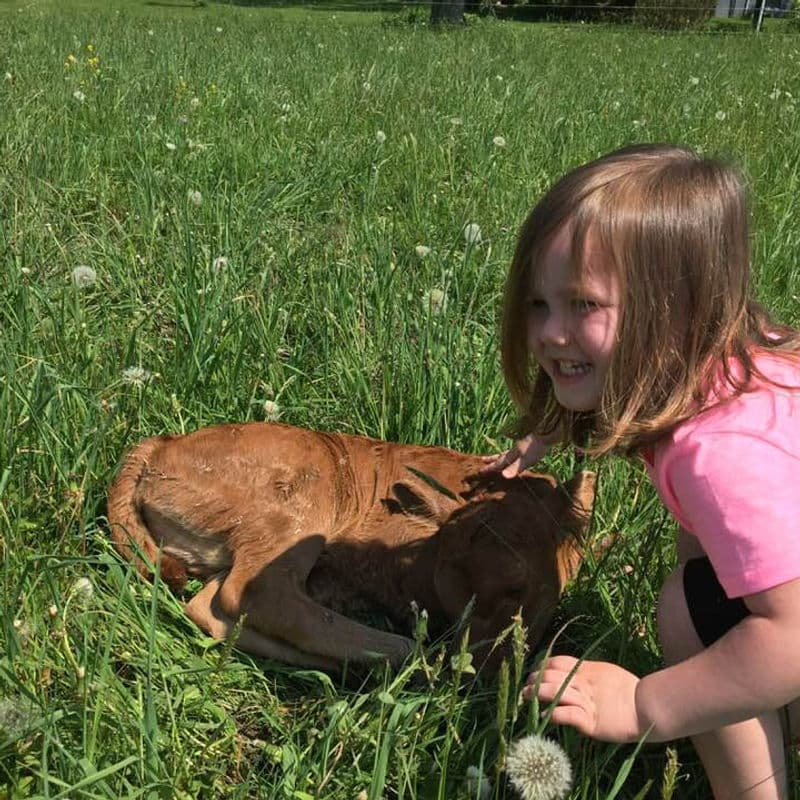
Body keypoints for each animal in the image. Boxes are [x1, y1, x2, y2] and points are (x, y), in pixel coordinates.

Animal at [107, 422, 595, 671]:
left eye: (522, 588)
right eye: (456, 567)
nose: (476, 665)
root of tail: (158, 447)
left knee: (209, 605)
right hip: (305, 503)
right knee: (256, 592)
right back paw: (396, 652)